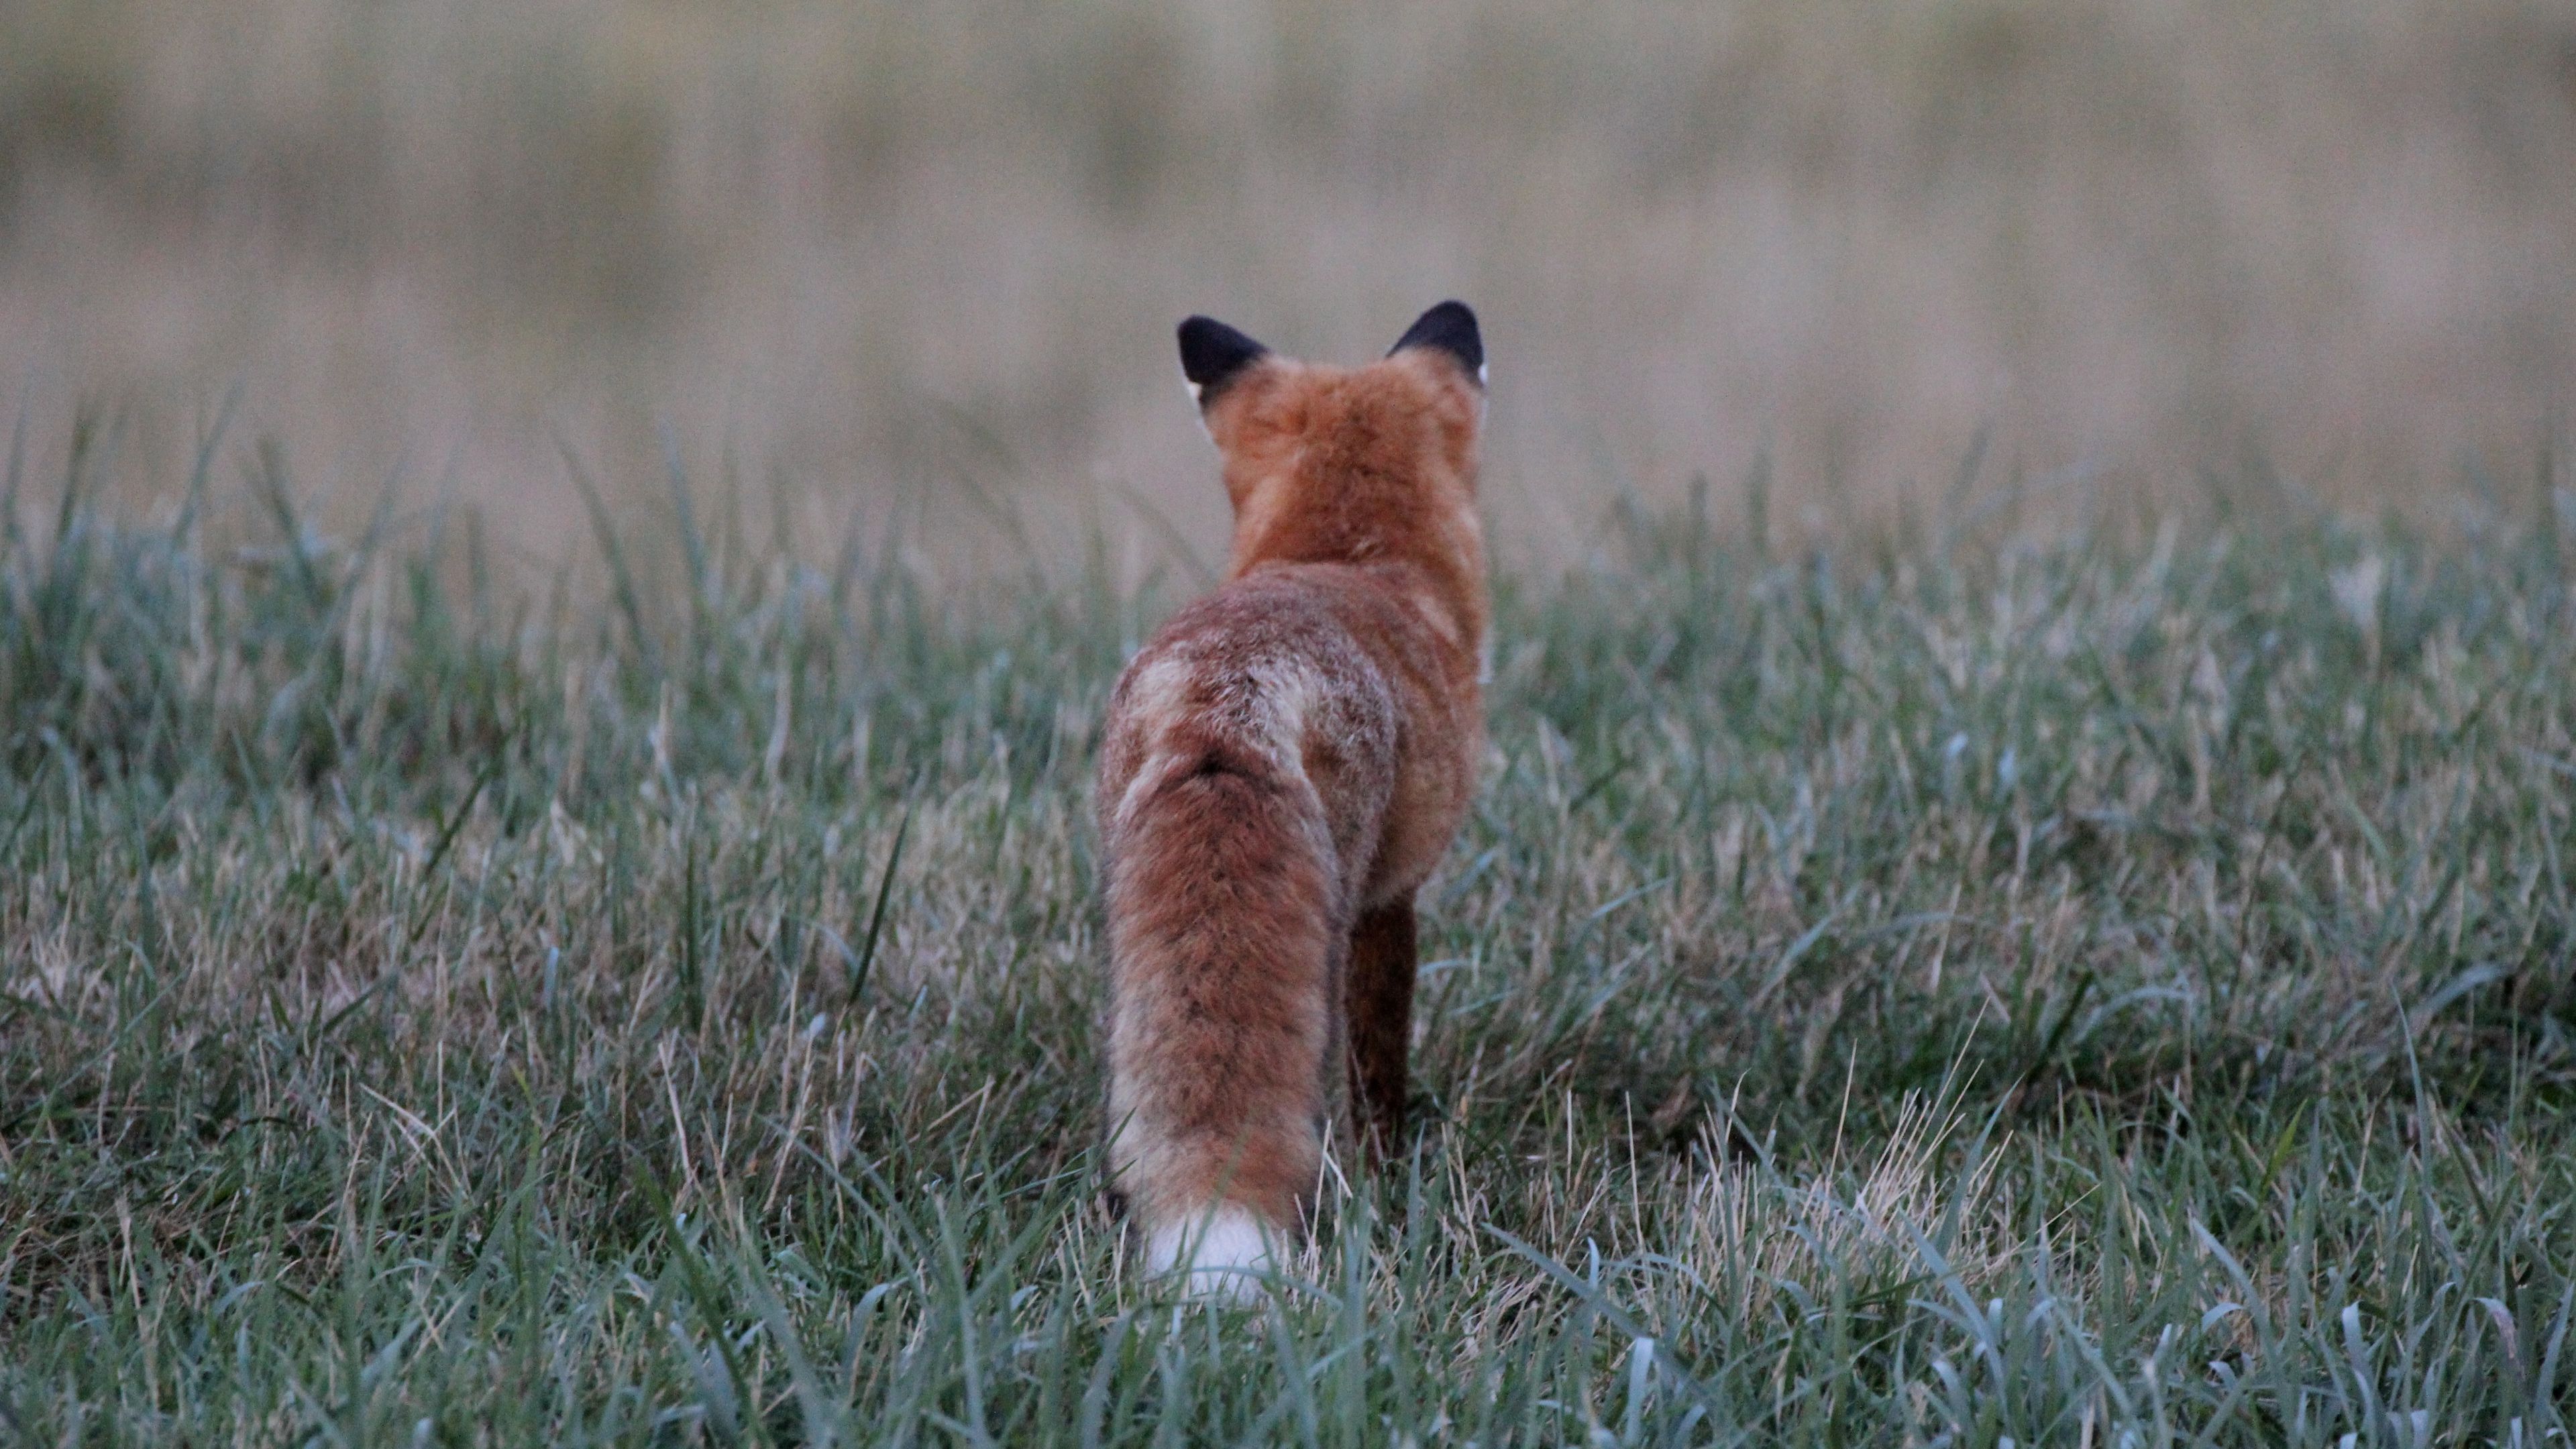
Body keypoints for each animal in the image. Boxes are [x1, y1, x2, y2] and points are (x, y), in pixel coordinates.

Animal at [1096, 301, 1488, 1296]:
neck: (1347, 556)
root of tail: (1224, 706)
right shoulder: (1393, 896)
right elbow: (1382, 1070)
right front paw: (1394, 1168)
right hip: (1332, 911)